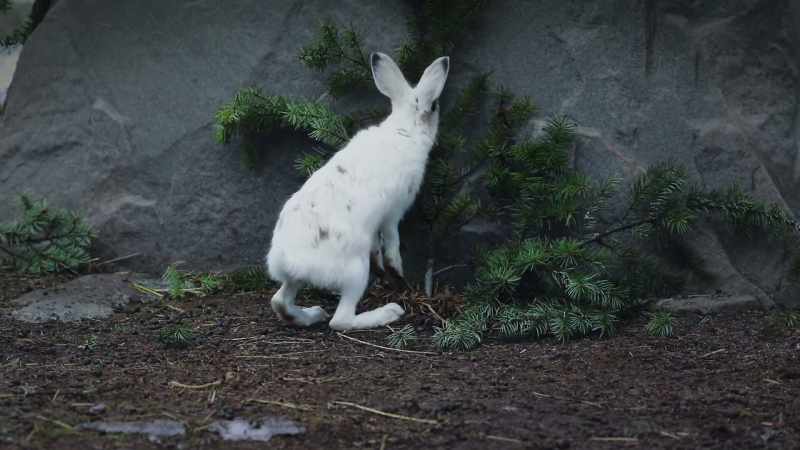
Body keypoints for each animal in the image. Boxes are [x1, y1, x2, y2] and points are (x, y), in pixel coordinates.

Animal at [265, 52, 450, 331]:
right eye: (435, 105)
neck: (404, 129)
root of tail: (289, 261)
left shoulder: (376, 226)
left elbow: (377, 249)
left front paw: (383, 273)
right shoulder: (393, 214)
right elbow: (392, 246)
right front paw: (398, 278)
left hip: (297, 280)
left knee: (280, 301)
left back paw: (313, 314)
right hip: (355, 270)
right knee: (340, 320)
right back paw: (388, 312)